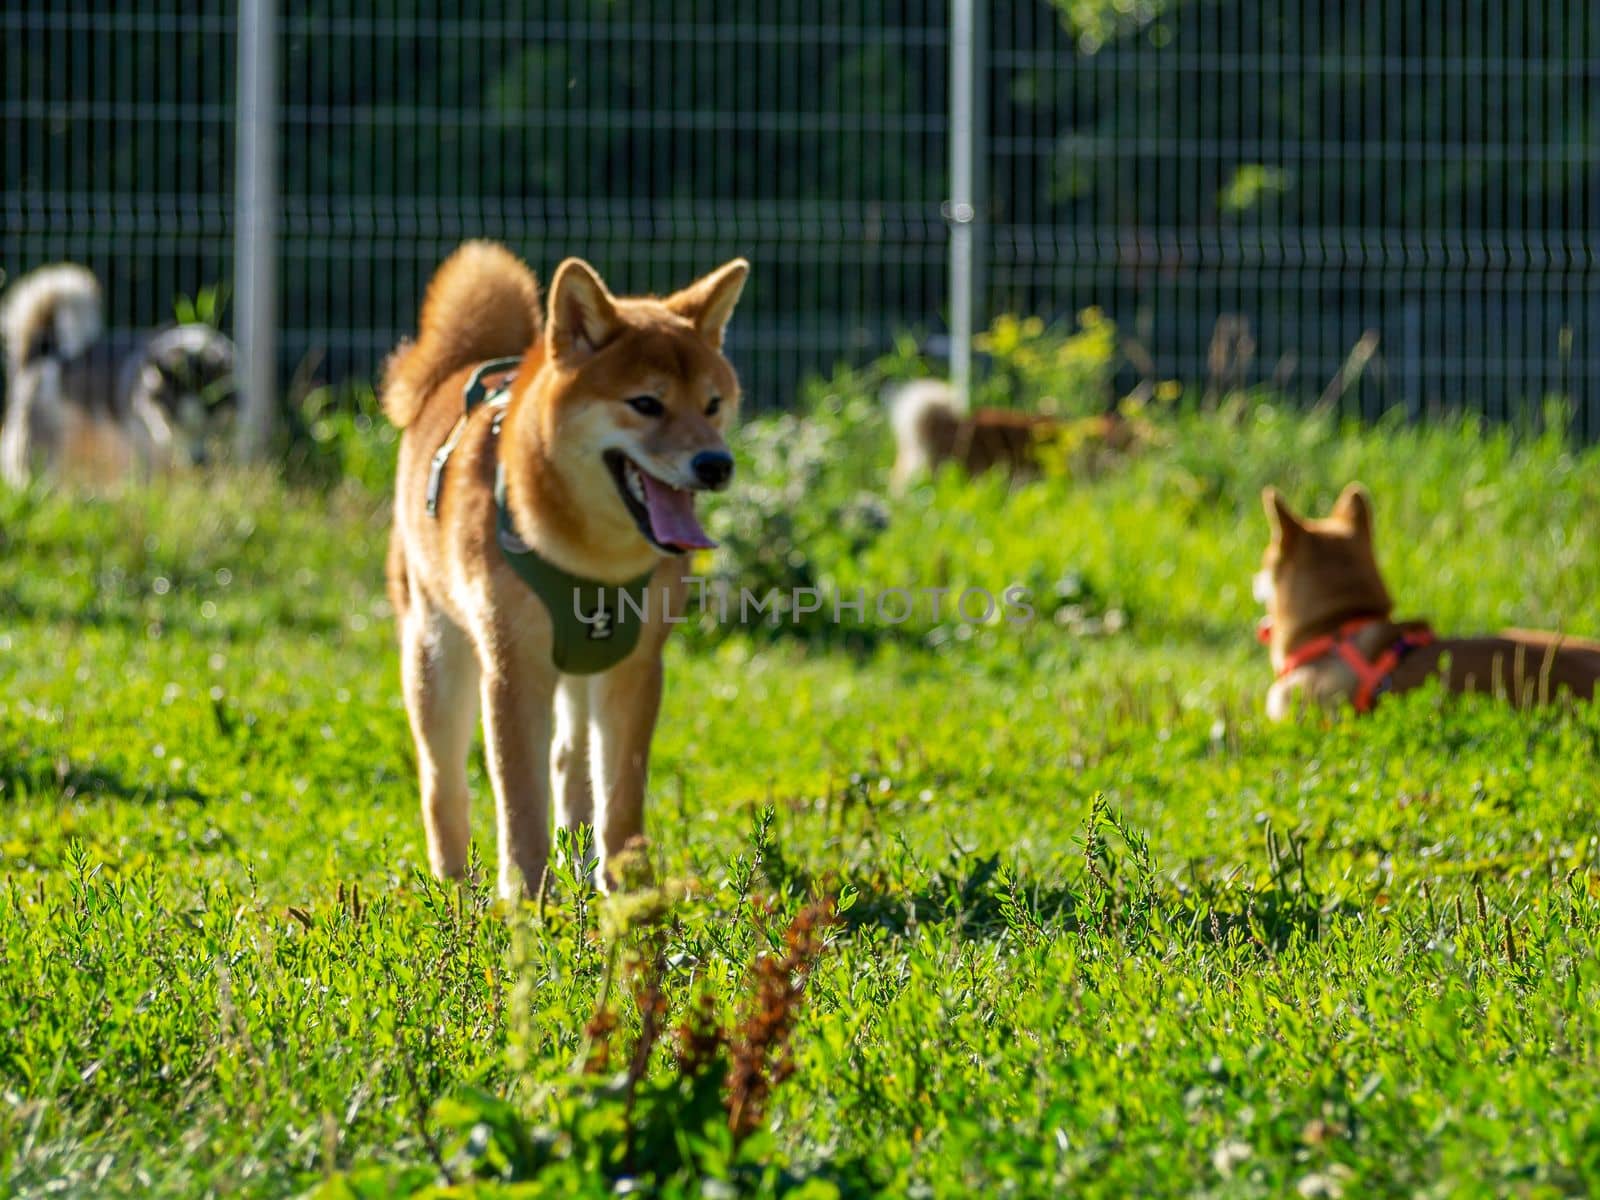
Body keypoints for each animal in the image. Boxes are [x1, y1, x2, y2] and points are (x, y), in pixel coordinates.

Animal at [384, 241, 745, 902]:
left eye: (713, 404)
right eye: (646, 403)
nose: (715, 463)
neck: (592, 557)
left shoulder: (636, 667)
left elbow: (619, 796)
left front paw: (630, 895)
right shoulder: (514, 668)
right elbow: (519, 802)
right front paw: (527, 900)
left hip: (582, 668)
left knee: (571, 764)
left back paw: (580, 868)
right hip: (437, 656)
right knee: (442, 784)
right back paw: (455, 888)